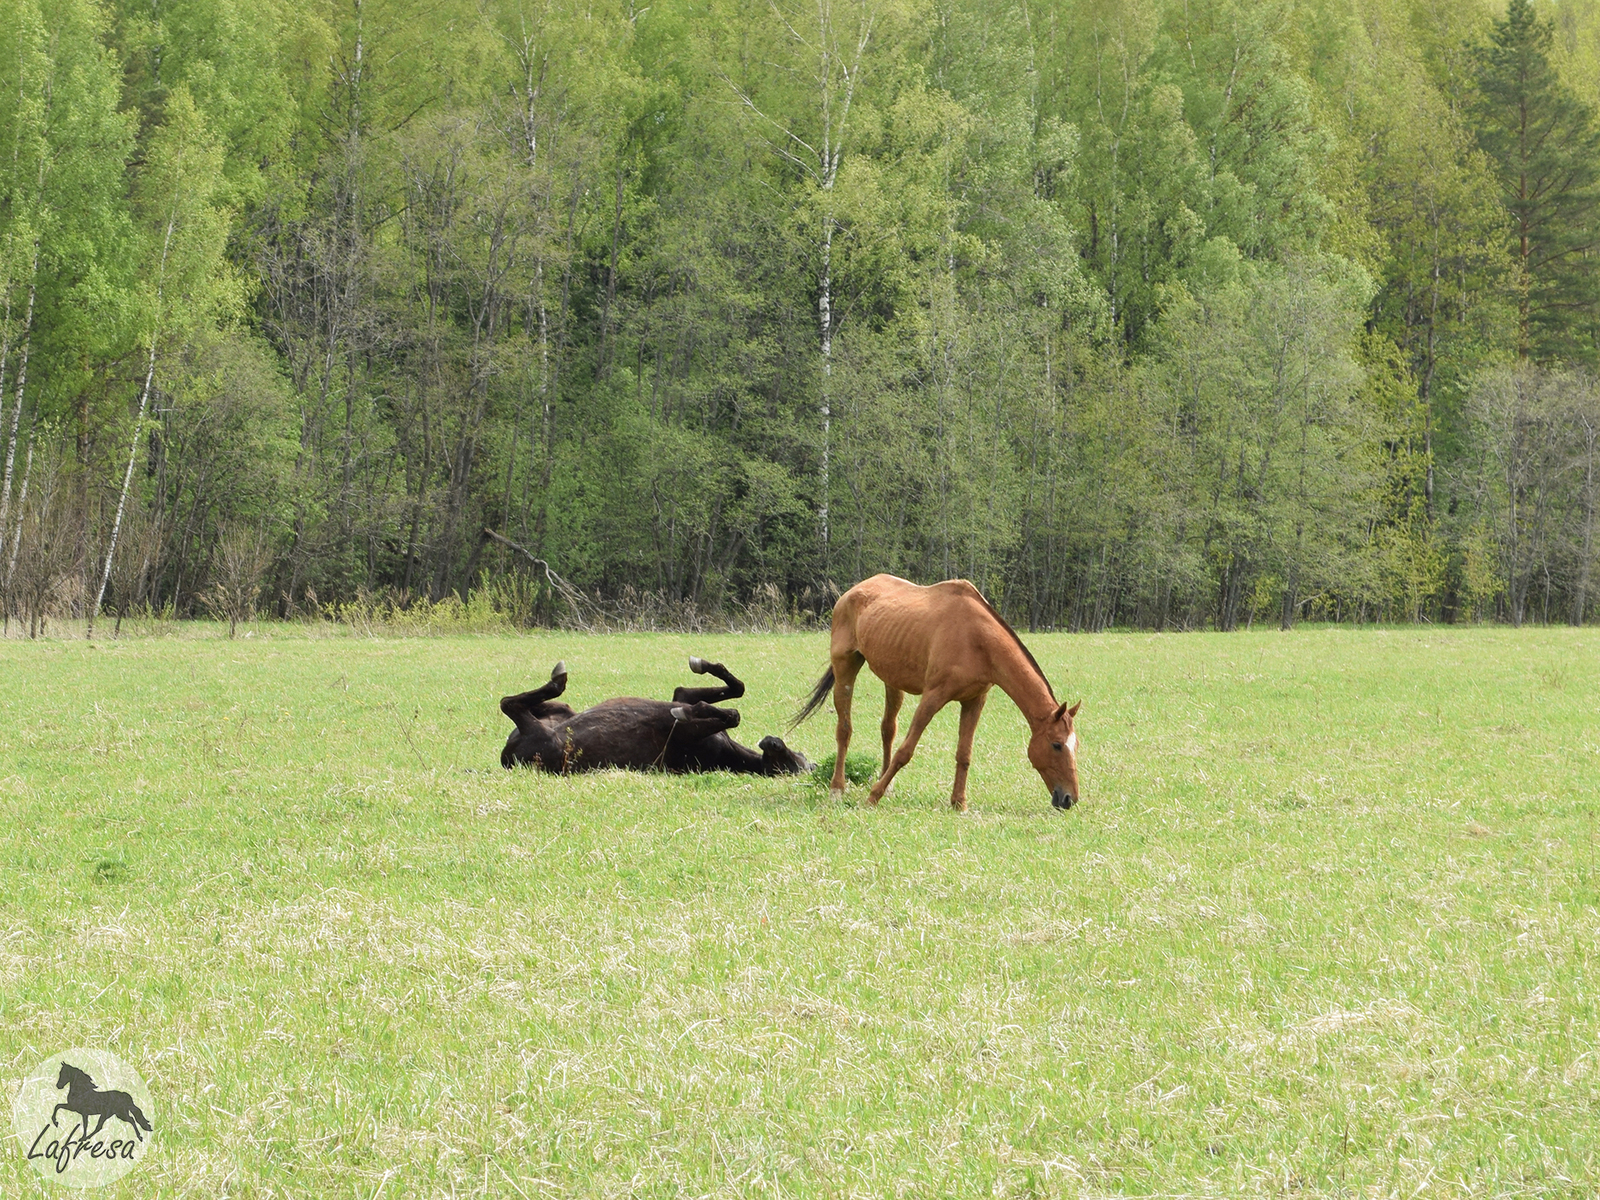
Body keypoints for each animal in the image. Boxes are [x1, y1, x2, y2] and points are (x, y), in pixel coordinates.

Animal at [499, 659, 812, 780]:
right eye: (797, 757)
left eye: (788, 763)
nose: (772, 742)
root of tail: (506, 757)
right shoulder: (681, 695)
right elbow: (734, 689)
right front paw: (703, 665)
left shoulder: (679, 730)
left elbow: (728, 714)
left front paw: (687, 713)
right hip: (560, 711)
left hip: (541, 732)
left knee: (509, 704)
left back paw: (557, 679)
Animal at [793, 576, 1081, 819]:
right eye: (1056, 745)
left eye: (1075, 745)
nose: (1070, 798)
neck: (977, 639)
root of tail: (851, 592)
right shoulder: (933, 697)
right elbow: (906, 751)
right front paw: (873, 797)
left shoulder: (975, 701)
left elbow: (964, 754)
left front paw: (958, 803)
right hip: (846, 668)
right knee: (844, 729)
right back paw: (837, 788)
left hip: (892, 679)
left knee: (888, 729)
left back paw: (887, 784)